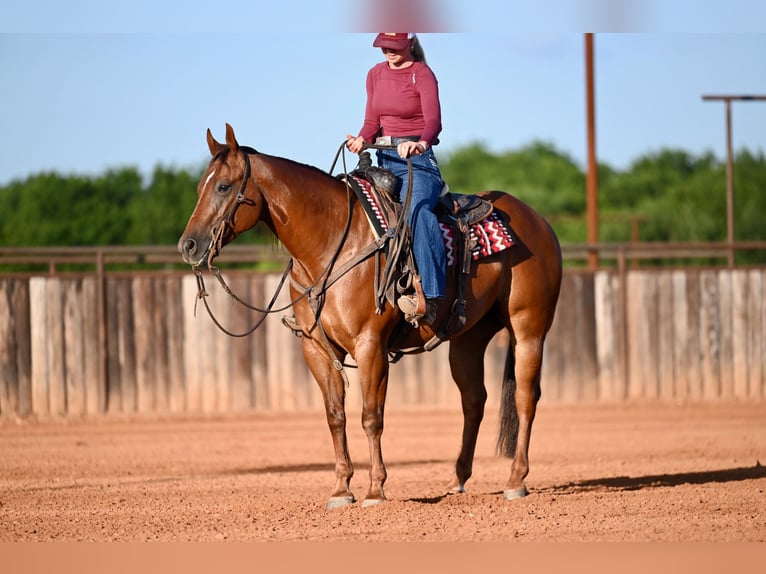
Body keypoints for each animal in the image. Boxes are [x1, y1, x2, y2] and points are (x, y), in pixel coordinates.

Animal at [178, 124, 562, 508]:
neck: (333, 241)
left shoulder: (370, 345)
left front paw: (376, 489)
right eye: (199, 188)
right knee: (474, 400)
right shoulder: (316, 348)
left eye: (223, 186)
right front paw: (341, 489)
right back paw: (458, 480)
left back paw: (516, 479)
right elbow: (335, 416)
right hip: (468, 338)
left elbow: (371, 416)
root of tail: (539, 221)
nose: (188, 245)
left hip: (528, 329)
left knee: (525, 397)